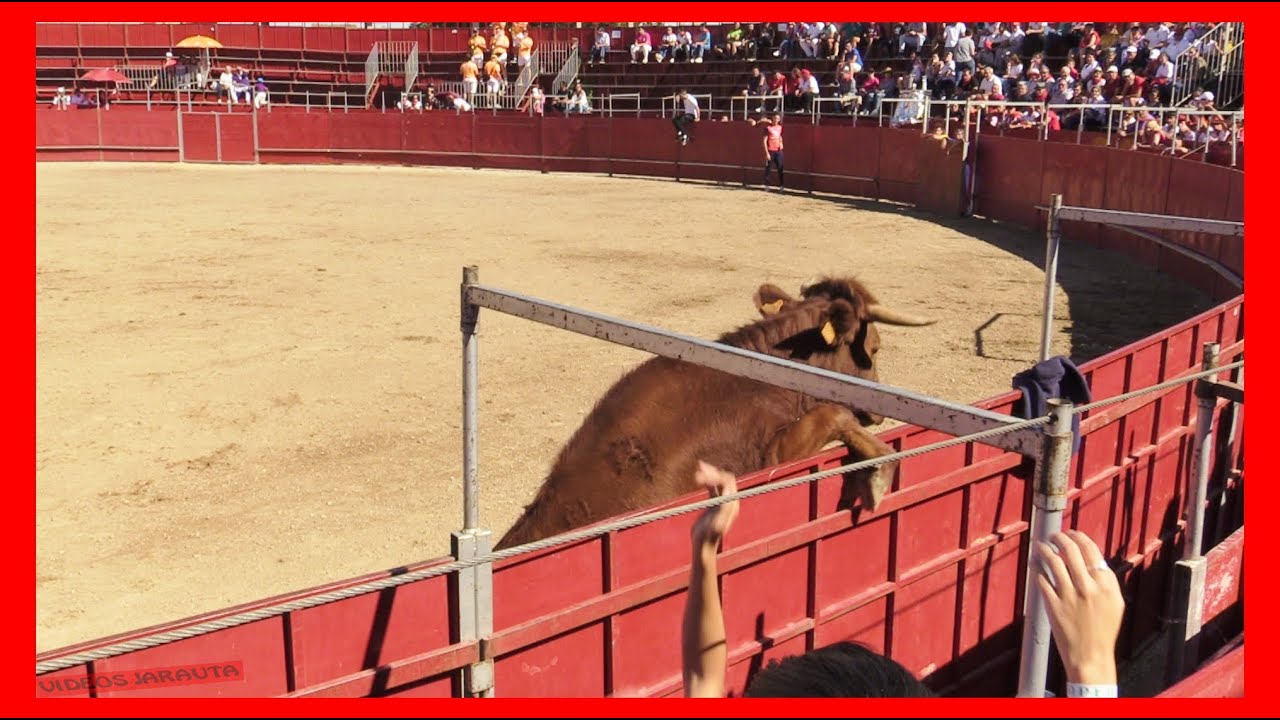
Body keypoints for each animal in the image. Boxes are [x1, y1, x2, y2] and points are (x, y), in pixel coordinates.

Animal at [492, 276, 936, 552]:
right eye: (874, 348)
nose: (877, 410)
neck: (764, 374)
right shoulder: (772, 455)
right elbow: (835, 413)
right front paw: (882, 467)